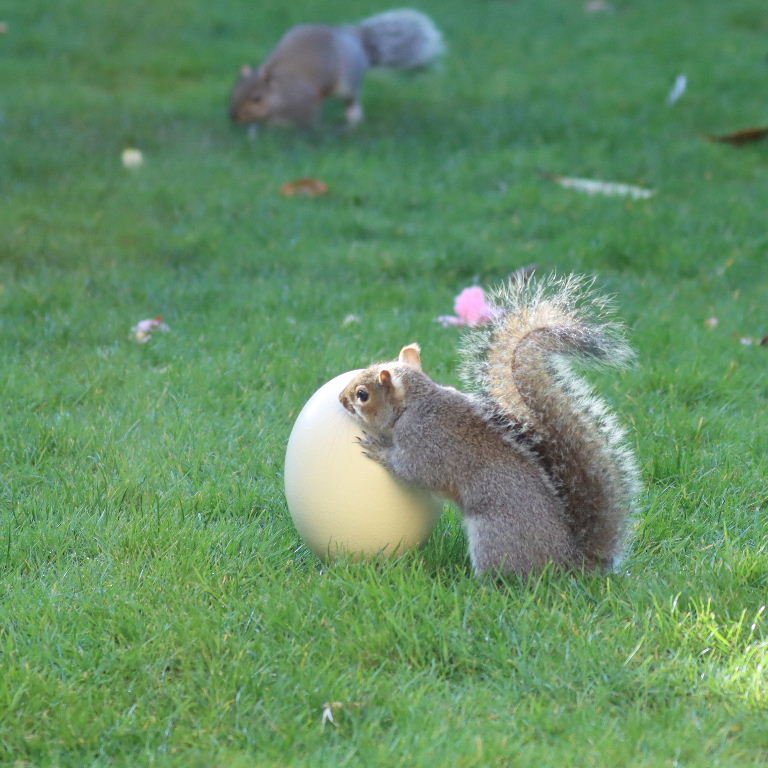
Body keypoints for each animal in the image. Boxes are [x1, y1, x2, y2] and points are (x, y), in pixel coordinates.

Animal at [229, 9, 443, 128]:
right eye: (233, 92)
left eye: (257, 98)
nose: (234, 117)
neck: (281, 90)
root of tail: (355, 39)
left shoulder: (305, 102)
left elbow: (306, 121)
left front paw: (281, 128)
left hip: (347, 84)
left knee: (352, 100)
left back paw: (352, 118)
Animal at [339, 274, 641, 577]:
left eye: (362, 395)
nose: (340, 399)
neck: (416, 403)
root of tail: (567, 562)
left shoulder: (424, 443)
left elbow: (410, 469)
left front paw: (378, 448)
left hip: (494, 537)